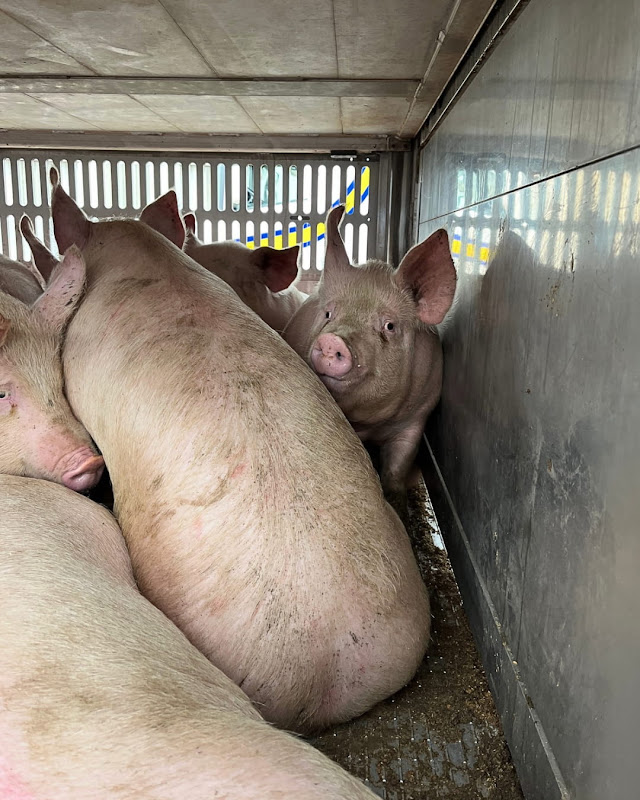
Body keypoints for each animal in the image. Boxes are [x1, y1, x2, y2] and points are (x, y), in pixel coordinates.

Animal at [283, 205, 457, 517]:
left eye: (389, 326)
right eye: (328, 314)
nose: (333, 341)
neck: (370, 422)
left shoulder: (418, 416)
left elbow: (398, 465)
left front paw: (397, 504)